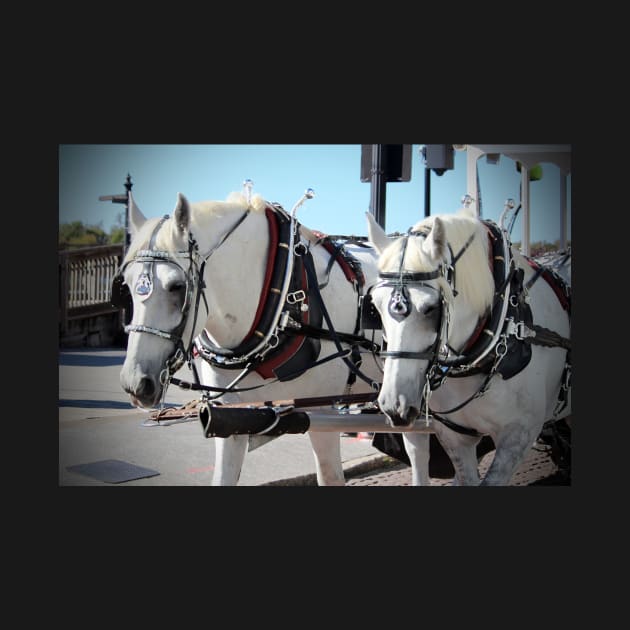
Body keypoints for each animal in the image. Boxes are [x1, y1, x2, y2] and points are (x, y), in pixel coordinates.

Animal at [115, 190, 434, 486]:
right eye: (126, 285)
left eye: (177, 286)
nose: (135, 383)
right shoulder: (229, 418)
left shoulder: (322, 412)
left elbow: (330, 476)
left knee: (418, 446)